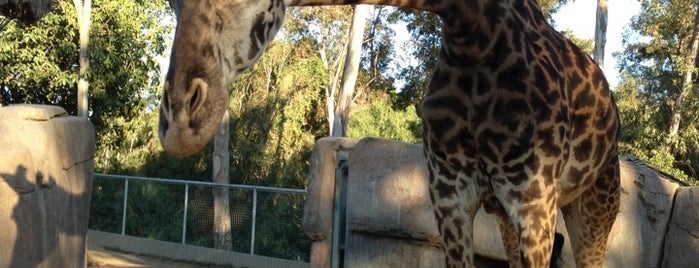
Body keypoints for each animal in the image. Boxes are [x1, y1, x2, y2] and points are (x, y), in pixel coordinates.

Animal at [157, 1, 616, 266]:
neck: (476, 37)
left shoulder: (534, 197)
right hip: (506, 212)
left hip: (593, 206)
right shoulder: (451, 194)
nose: (177, 121)